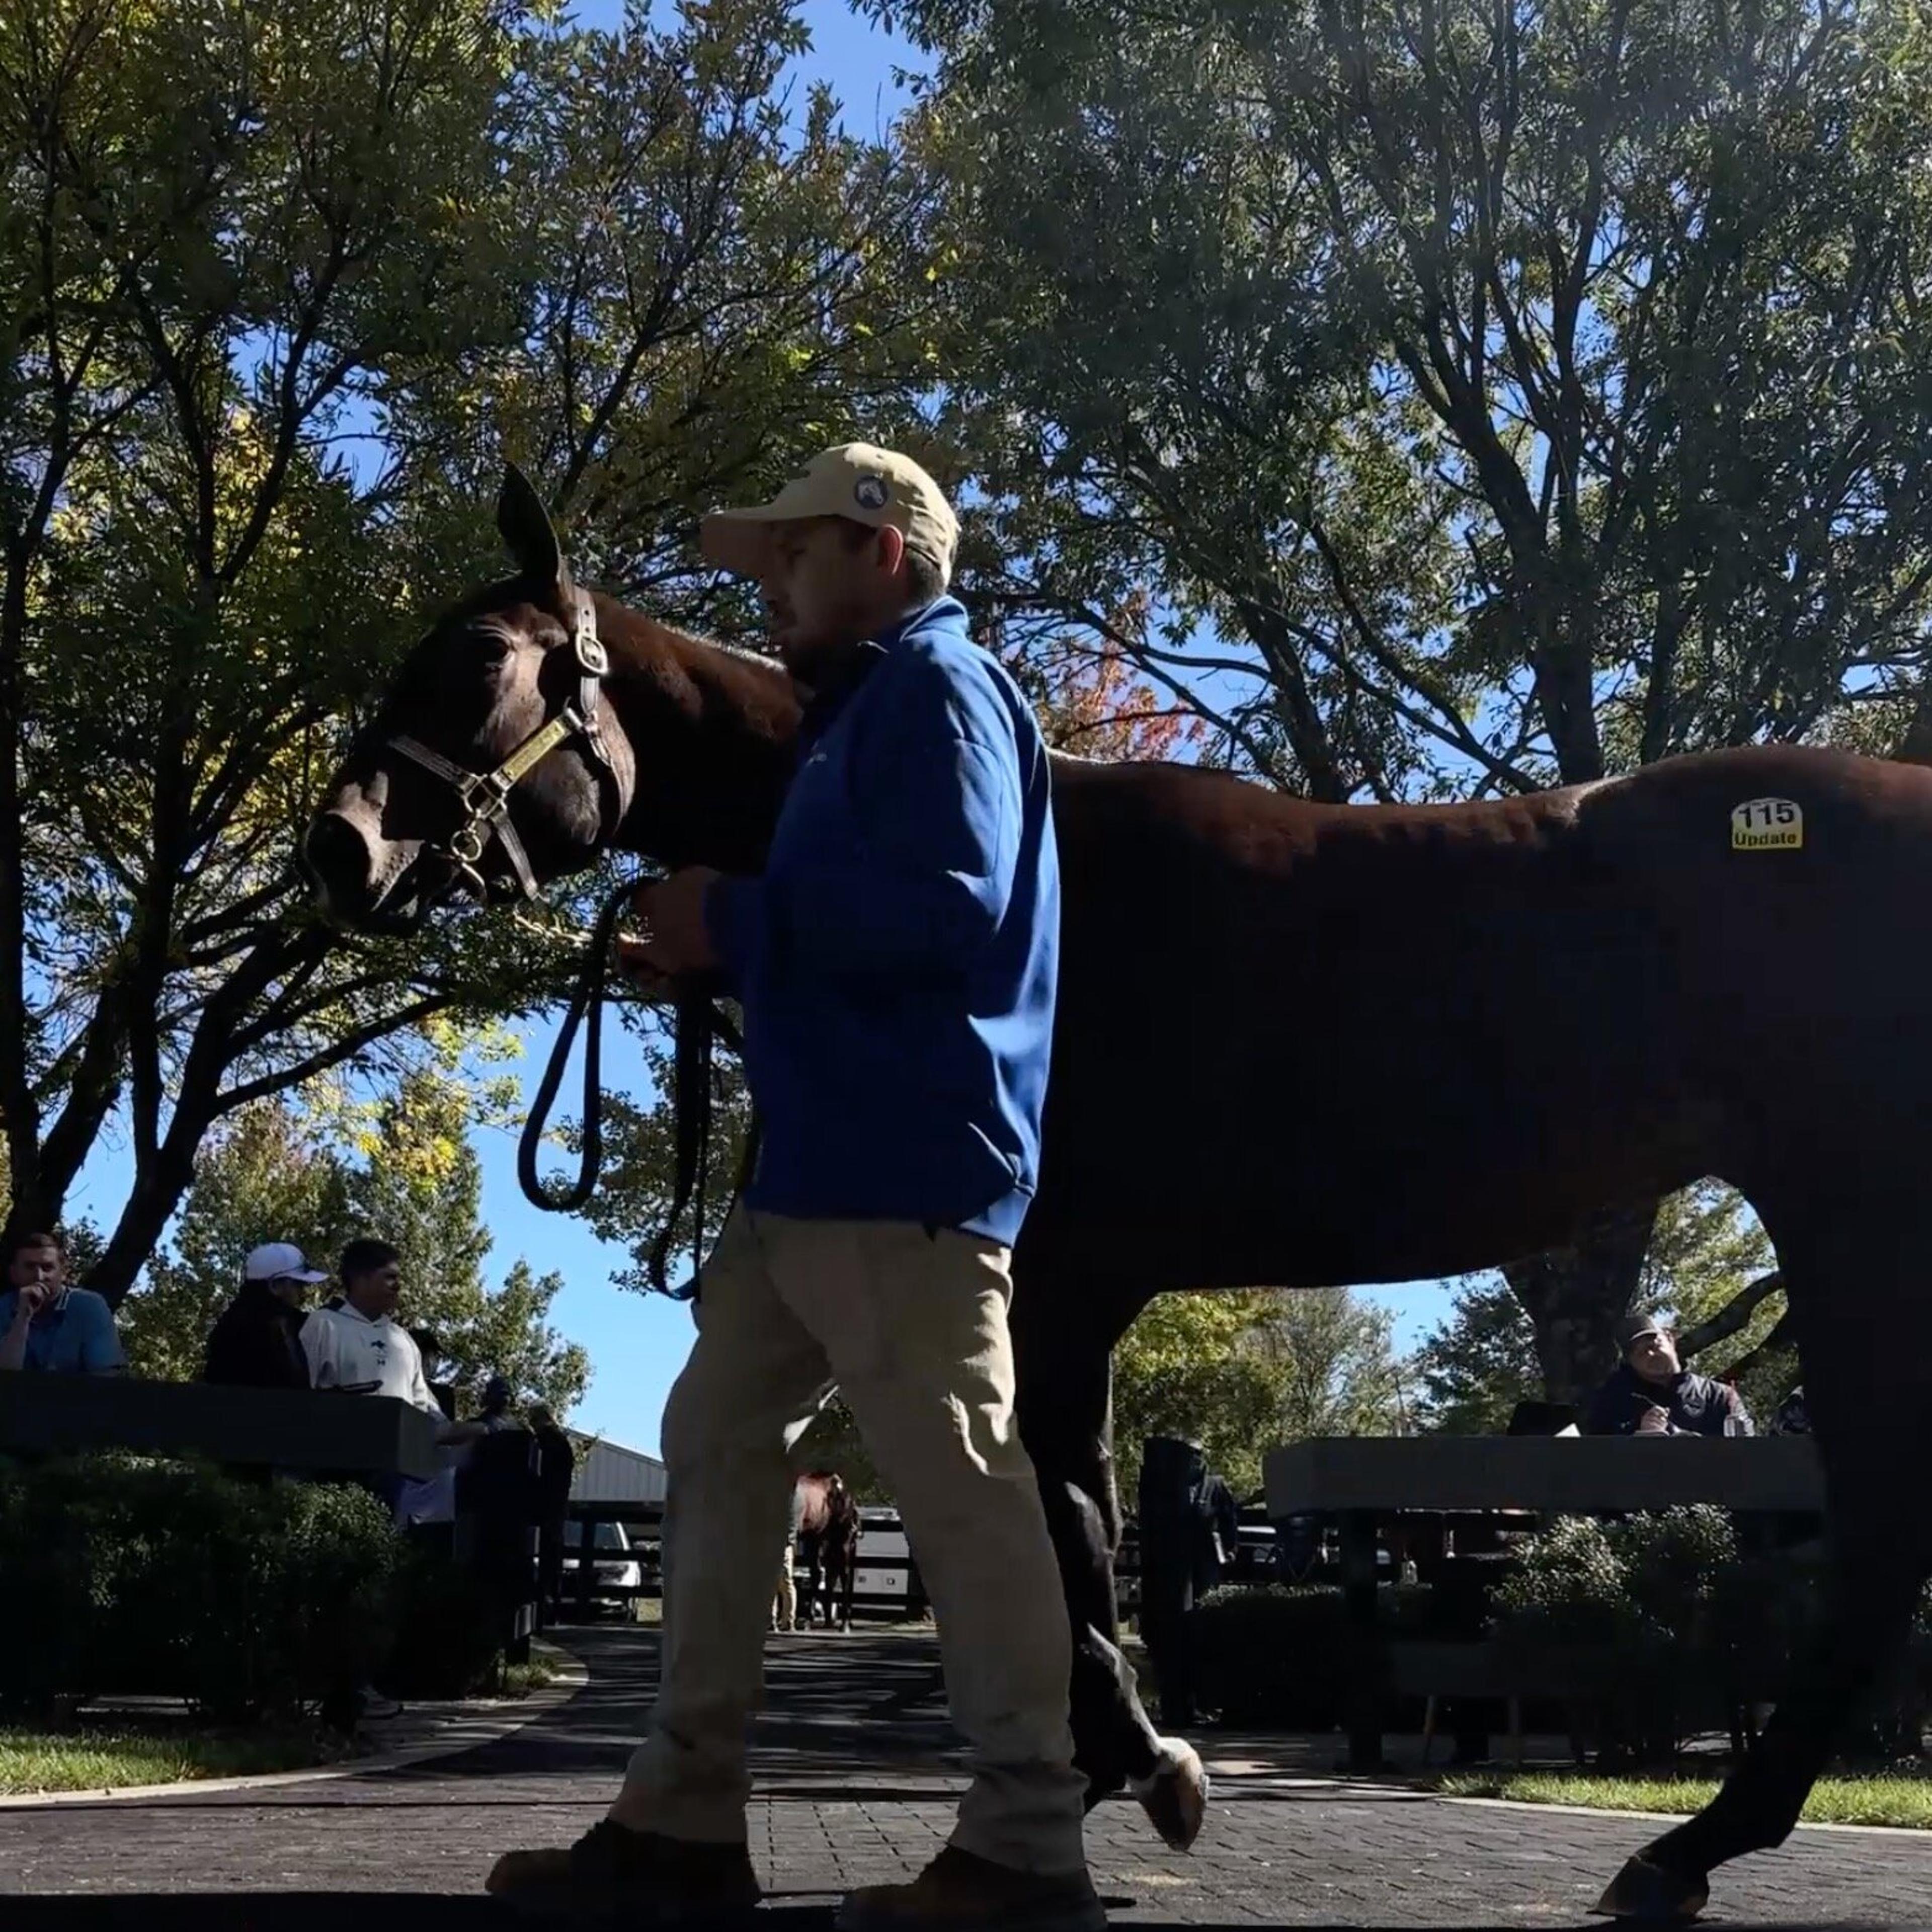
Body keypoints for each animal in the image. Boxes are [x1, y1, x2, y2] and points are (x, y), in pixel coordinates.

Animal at [794, 1471, 860, 1632]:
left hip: (843, 1540)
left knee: (845, 1574)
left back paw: (845, 1624)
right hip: (819, 1540)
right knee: (824, 1574)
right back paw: (820, 1621)